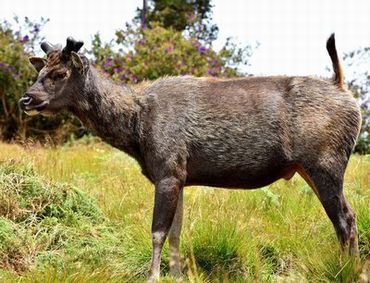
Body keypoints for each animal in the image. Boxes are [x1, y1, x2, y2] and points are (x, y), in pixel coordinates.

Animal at [19, 35, 362, 282]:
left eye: (60, 73)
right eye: (39, 72)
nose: (26, 99)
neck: (135, 130)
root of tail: (343, 88)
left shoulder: (168, 168)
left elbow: (157, 232)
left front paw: (153, 276)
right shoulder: (179, 175)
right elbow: (175, 232)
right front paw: (176, 273)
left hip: (326, 162)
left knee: (345, 218)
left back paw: (350, 272)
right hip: (309, 167)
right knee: (347, 218)